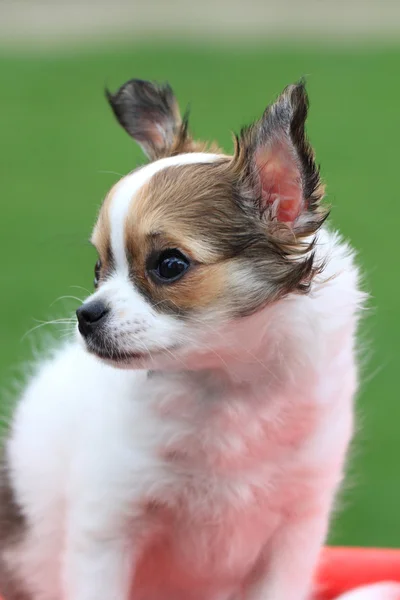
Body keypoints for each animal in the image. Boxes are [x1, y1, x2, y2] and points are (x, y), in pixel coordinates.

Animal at [0, 79, 366, 600]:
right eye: (98, 268)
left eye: (169, 265)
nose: (86, 316)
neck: (226, 388)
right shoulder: (106, 528)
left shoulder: (295, 531)